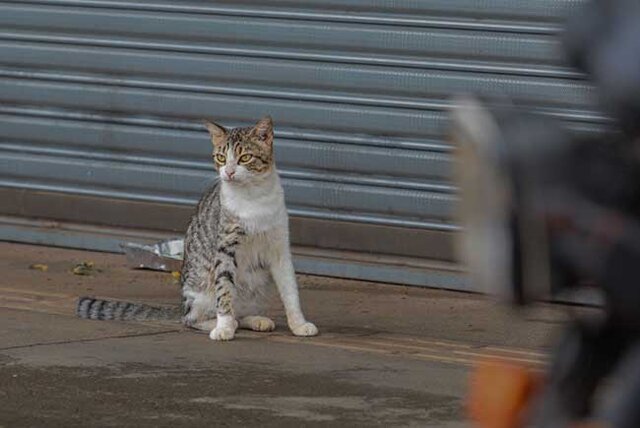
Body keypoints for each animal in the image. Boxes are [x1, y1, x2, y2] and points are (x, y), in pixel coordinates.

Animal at [77, 116, 318, 342]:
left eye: (245, 158)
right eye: (221, 158)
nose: (229, 172)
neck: (254, 197)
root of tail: (182, 305)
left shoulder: (279, 247)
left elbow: (290, 290)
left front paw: (299, 324)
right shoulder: (225, 248)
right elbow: (224, 291)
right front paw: (223, 328)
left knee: (239, 312)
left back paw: (254, 319)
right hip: (200, 291)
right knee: (192, 319)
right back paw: (223, 323)